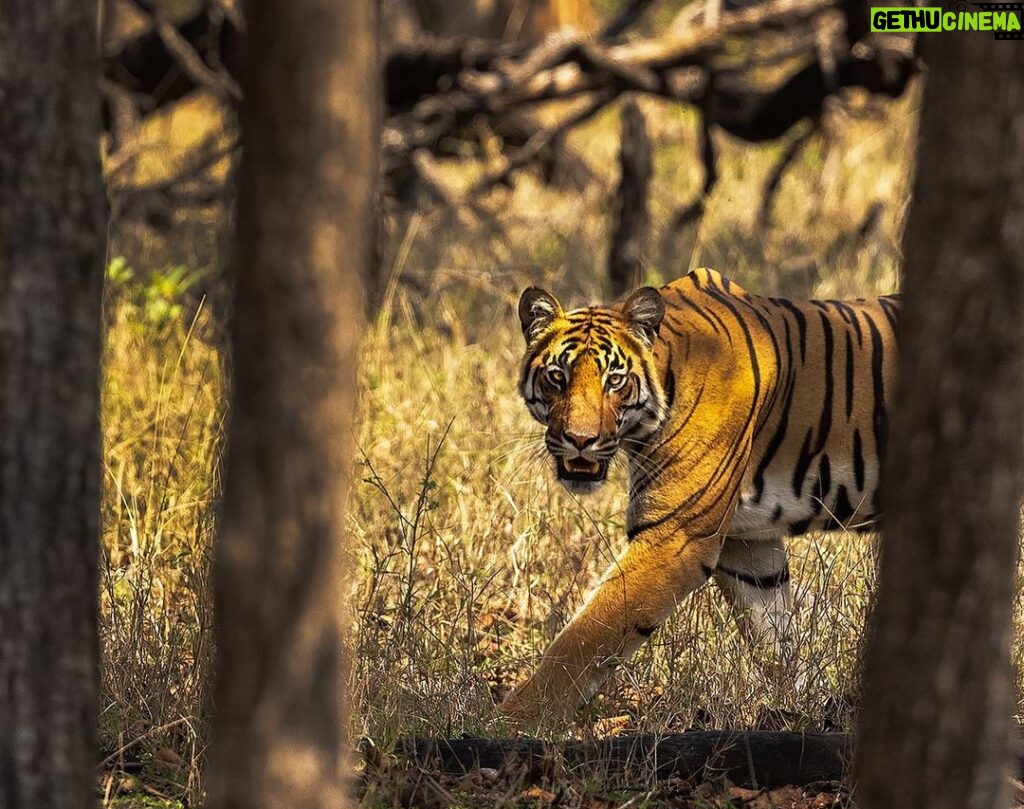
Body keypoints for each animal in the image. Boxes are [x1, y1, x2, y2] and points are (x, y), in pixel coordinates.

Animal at [501, 268, 897, 720]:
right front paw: (800, 704)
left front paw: (511, 719)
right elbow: (772, 632)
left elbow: (584, 638)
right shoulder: (749, 542)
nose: (580, 440)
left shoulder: (674, 537)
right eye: (557, 377)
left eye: (614, 381)